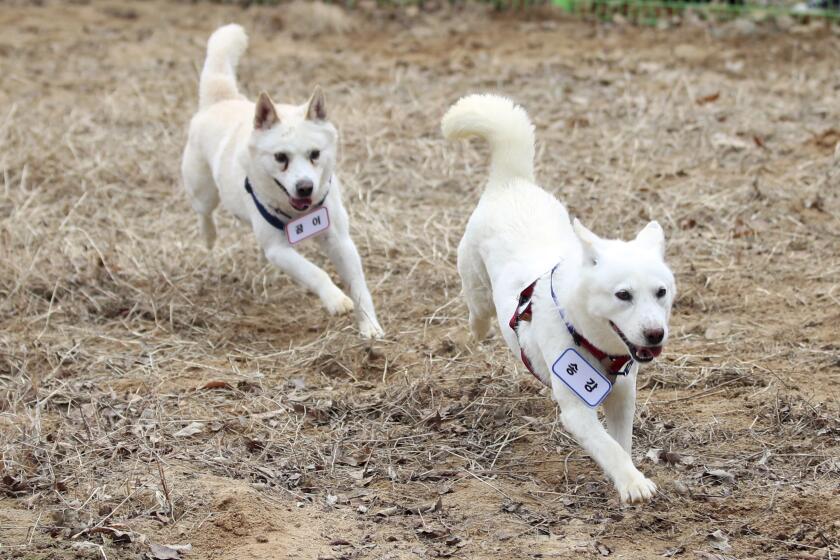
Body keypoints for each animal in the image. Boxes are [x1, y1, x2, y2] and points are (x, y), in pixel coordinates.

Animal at [184, 24, 384, 340]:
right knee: (204, 212)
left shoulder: (339, 240)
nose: (305, 187)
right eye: (280, 157)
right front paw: (336, 300)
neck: (299, 213)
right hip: (202, 190)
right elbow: (315, 272)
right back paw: (209, 237)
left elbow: (359, 285)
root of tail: (223, 99)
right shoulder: (278, 250)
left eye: (315, 154)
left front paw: (369, 326)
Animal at [446, 93, 676, 504]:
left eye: (661, 292)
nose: (655, 334)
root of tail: (512, 181)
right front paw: (633, 483)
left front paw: (627, 476)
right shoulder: (577, 409)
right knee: (477, 309)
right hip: (475, 283)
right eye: (623, 294)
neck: (592, 339)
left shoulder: (623, 395)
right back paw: (477, 330)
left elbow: (620, 443)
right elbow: (608, 447)